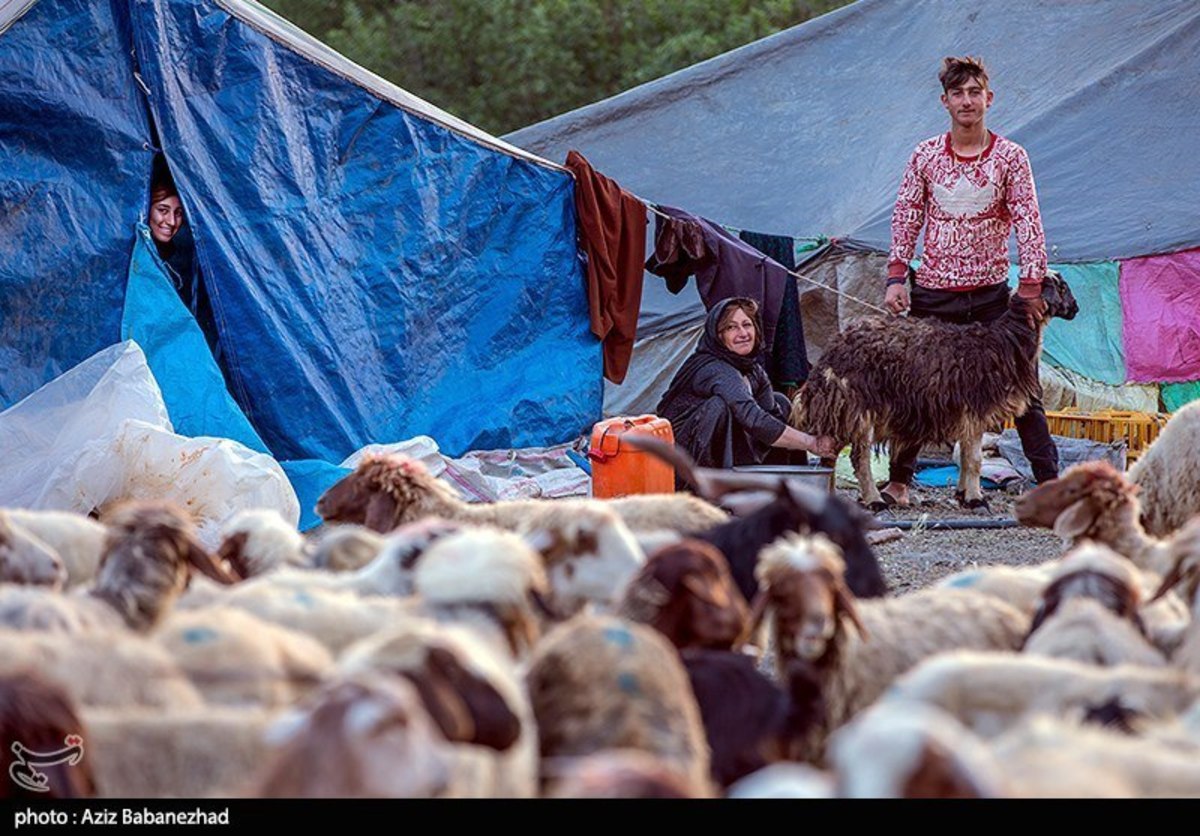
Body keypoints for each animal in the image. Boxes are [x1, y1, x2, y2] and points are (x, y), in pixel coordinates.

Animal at [787, 273, 1080, 508]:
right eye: (1063, 286)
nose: (1076, 309)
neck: (1008, 340)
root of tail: (830, 355)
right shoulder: (974, 411)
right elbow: (975, 460)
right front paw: (975, 498)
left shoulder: (966, 415)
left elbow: (966, 456)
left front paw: (963, 494)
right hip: (859, 407)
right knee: (859, 459)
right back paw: (874, 500)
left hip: (842, 410)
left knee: (828, 455)